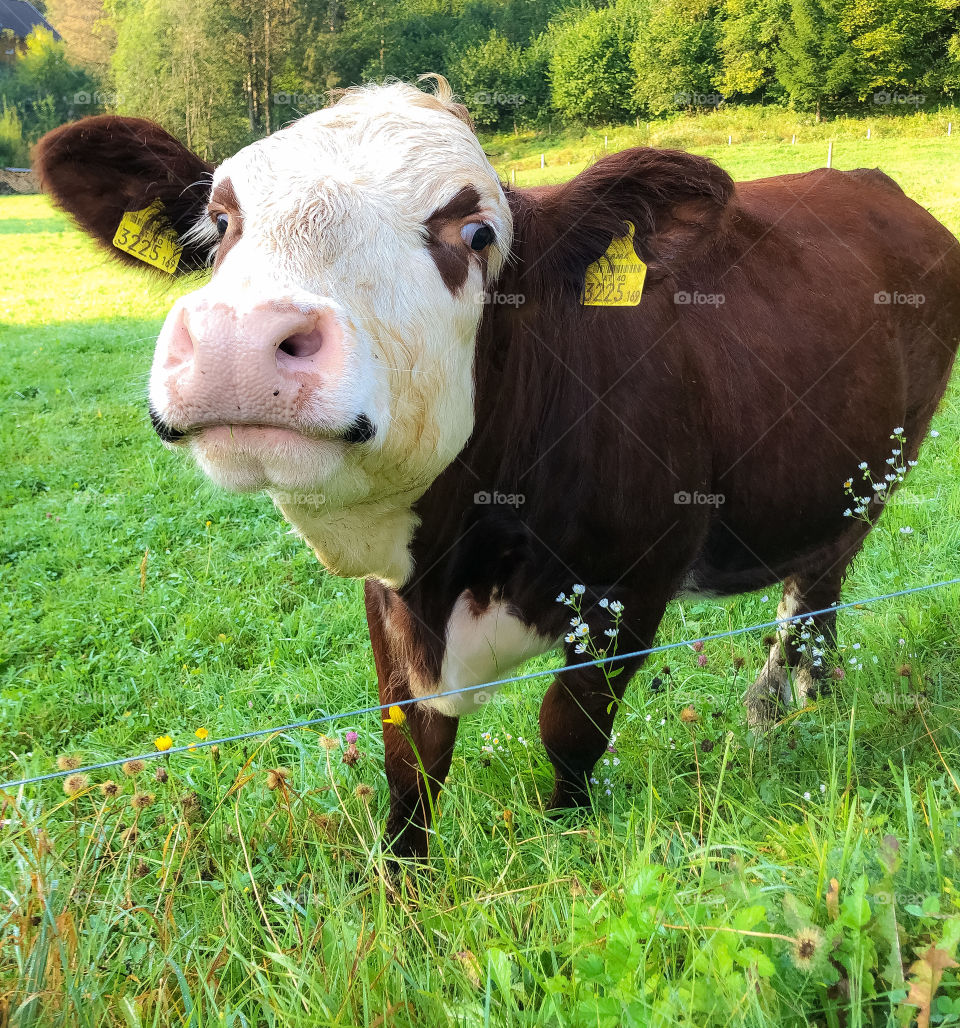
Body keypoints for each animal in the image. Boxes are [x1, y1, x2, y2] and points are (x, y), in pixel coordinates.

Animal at [35, 74, 960, 859]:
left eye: (475, 233)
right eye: (221, 225)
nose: (238, 338)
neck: (461, 553)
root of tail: (867, 182)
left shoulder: (634, 580)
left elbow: (570, 728)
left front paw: (567, 841)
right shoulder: (394, 602)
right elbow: (410, 752)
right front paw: (403, 888)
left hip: (878, 469)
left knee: (817, 582)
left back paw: (783, 699)